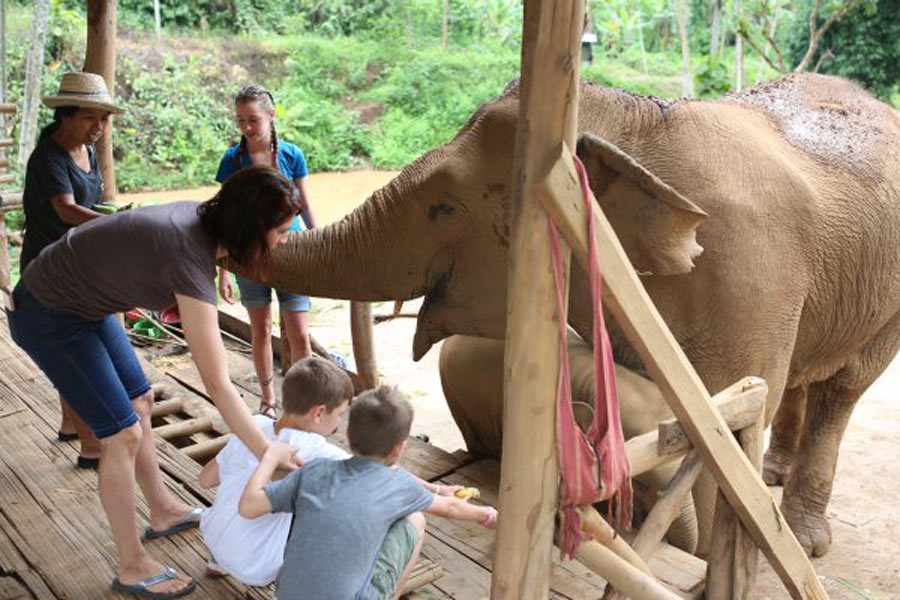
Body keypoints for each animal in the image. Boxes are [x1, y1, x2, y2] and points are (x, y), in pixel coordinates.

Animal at [230, 74, 900, 556]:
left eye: (444, 208)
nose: (255, 195)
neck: (638, 126)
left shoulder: (746, 279)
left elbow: (722, 422)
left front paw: (703, 548)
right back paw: (773, 474)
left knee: (843, 390)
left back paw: (805, 540)